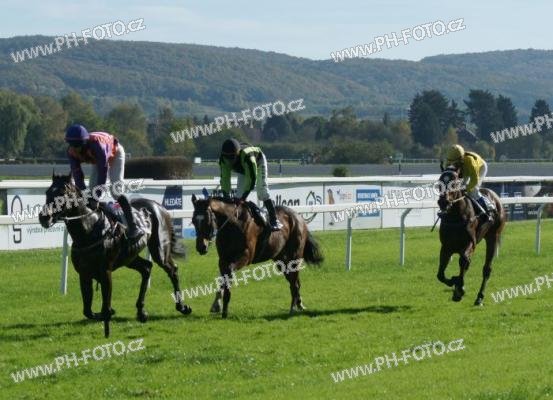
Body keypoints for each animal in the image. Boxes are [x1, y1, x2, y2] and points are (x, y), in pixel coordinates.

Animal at [39, 173, 192, 337]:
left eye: (62, 194)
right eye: (47, 192)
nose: (44, 217)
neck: (90, 230)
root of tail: (160, 207)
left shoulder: (105, 271)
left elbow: (104, 305)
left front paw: (108, 318)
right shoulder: (84, 273)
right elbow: (87, 310)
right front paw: (109, 312)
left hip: (159, 250)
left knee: (172, 269)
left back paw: (182, 307)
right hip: (129, 256)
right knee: (146, 268)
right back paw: (141, 311)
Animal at [191, 195, 324, 318]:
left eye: (207, 220)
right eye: (193, 220)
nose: (201, 247)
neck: (232, 225)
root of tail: (298, 217)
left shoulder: (245, 257)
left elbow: (228, 275)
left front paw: (223, 308)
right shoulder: (223, 260)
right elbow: (222, 278)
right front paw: (217, 304)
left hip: (295, 256)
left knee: (294, 282)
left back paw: (293, 308)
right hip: (282, 261)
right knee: (294, 281)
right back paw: (299, 304)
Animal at [435, 166, 506, 305]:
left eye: (454, 183)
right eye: (440, 183)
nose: (443, 202)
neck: (455, 217)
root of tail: (495, 197)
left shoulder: (470, 243)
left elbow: (464, 261)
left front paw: (459, 289)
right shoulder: (446, 247)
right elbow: (440, 274)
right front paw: (455, 283)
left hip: (493, 237)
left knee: (486, 269)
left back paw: (479, 297)